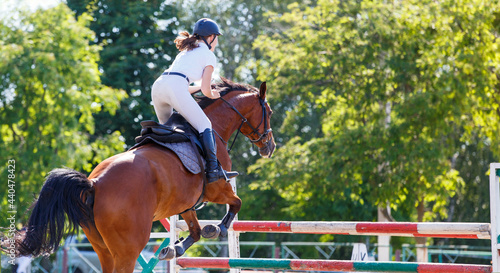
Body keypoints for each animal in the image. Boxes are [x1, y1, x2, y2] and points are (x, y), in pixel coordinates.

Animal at [13, 77, 276, 270]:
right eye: (270, 112)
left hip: (103, 249)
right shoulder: (218, 188)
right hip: (128, 248)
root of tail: (94, 183)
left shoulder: (187, 202)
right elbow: (236, 203)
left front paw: (175, 248)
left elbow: (194, 230)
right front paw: (217, 228)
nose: (270, 147)